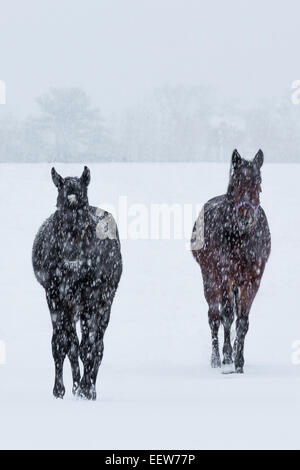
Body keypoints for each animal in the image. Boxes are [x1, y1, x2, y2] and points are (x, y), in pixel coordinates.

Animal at [192, 151, 272, 374]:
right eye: (235, 183)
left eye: (258, 182)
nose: (245, 217)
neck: (240, 237)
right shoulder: (224, 275)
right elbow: (226, 316)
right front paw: (228, 358)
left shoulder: (253, 280)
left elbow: (242, 321)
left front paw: (239, 361)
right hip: (210, 279)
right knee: (214, 317)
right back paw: (217, 358)